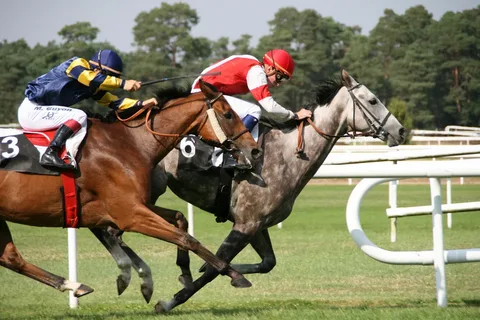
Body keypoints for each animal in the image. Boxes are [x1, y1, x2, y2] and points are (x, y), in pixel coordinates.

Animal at [0, 80, 260, 300]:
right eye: (228, 114)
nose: (254, 149)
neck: (129, 142)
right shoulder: (130, 214)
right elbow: (187, 238)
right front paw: (235, 274)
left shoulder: (136, 206)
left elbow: (180, 219)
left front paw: (182, 274)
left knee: (10, 257)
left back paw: (75, 285)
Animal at [89, 70, 404, 312]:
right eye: (373, 100)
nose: (400, 131)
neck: (288, 154)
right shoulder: (245, 223)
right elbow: (216, 266)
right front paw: (171, 301)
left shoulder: (256, 224)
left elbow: (267, 263)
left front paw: (206, 272)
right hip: (139, 196)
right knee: (111, 229)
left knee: (114, 229)